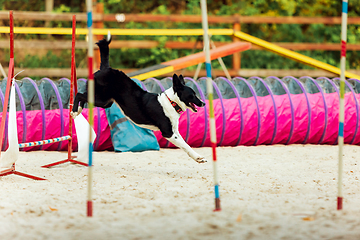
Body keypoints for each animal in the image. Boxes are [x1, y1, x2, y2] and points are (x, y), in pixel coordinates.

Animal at [71, 34, 207, 163]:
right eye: (192, 95)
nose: (204, 103)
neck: (171, 102)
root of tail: (105, 68)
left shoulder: (175, 132)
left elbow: (185, 145)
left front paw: (198, 158)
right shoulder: (169, 132)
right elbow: (186, 145)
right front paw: (199, 157)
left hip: (105, 102)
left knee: (83, 95)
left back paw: (78, 111)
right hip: (101, 98)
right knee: (79, 94)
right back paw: (73, 111)